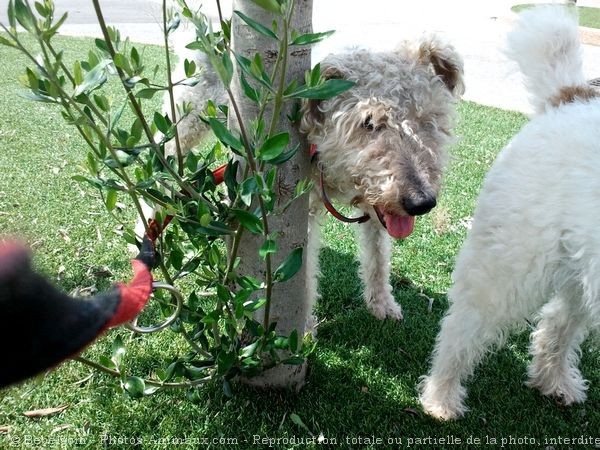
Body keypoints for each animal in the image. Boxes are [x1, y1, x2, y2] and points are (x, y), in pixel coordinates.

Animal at [420, 5, 600, 420]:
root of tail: (569, 98)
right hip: (511, 260)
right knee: (461, 327)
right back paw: (441, 397)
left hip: (578, 268)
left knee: (556, 322)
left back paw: (555, 381)